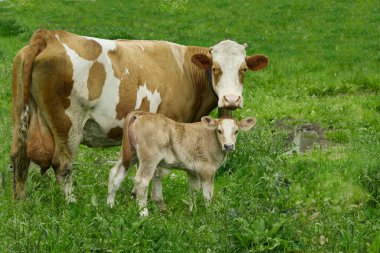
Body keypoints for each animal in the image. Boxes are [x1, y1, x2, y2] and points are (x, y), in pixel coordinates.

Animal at [11, 29, 268, 200]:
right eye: (215, 68)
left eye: (244, 69)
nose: (231, 99)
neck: (187, 71)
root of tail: (49, 35)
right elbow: (158, 171)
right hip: (69, 124)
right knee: (62, 164)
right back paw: (70, 202)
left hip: (21, 116)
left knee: (18, 157)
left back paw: (20, 201)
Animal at [107, 110, 255, 215]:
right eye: (219, 130)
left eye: (236, 131)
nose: (228, 146)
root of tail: (140, 113)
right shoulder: (207, 170)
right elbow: (208, 194)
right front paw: (210, 214)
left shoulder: (193, 170)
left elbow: (193, 190)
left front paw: (192, 211)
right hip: (148, 158)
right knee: (141, 181)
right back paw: (143, 213)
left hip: (129, 154)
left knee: (115, 174)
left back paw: (110, 205)